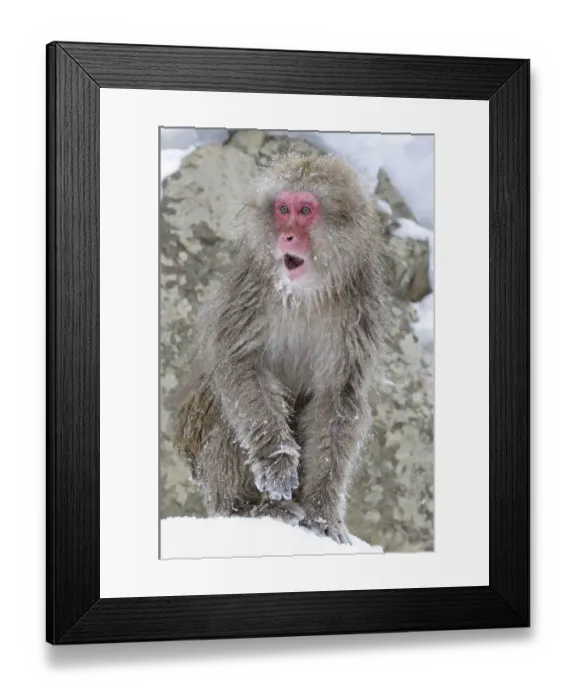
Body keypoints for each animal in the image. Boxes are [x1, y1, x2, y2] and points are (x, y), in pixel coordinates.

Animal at [174, 151, 392, 545]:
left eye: (305, 210)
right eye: (282, 209)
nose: (287, 234)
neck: (306, 293)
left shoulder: (360, 314)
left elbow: (337, 400)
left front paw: (323, 515)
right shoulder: (250, 293)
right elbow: (240, 366)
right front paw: (277, 461)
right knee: (229, 410)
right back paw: (248, 507)